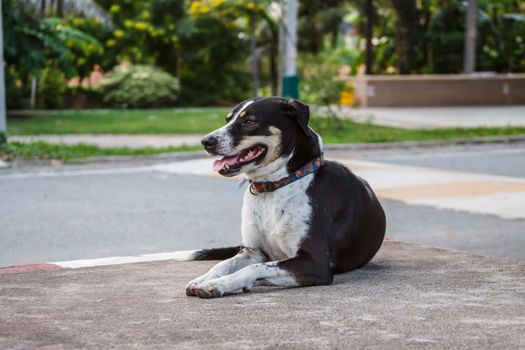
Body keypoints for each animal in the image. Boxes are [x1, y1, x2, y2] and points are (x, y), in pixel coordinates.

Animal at [180, 96, 384, 298]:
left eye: (249, 121)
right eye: (227, 119)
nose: (205, 141)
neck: (274, 186)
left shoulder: (315, 262)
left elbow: (255, 268)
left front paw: (218, 284)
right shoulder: (252, 252)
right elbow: (224, 264)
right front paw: (204, 279)